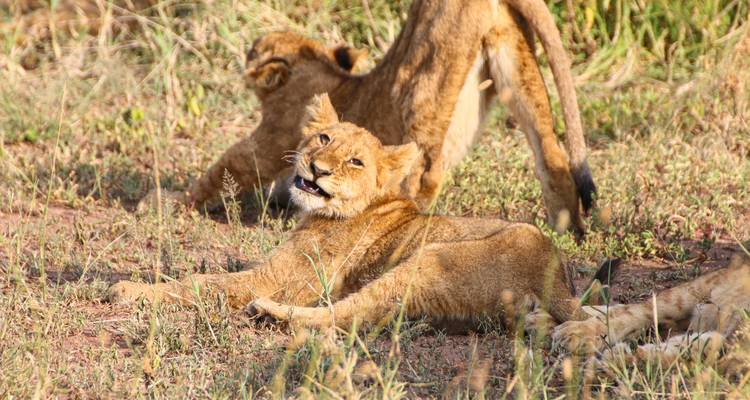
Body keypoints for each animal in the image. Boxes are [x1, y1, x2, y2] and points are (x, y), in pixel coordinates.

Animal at [110, 94, 599, 331]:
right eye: (324, 138)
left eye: (356, 162)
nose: (318, 169)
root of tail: (557, 277)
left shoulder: (281, 278)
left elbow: (205, 283)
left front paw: (131, 289)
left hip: (428, 261)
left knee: (346, 314)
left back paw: (267, 313)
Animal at [159, 0, 596, 236]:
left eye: (255, 49)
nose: (248, 50)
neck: (320, 69)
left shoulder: (270, 138)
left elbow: (223, 169)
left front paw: (167, 201)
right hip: (512, 56)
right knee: (552, 154)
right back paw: (566, 230)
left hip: (423, 73)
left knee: (427, 171)